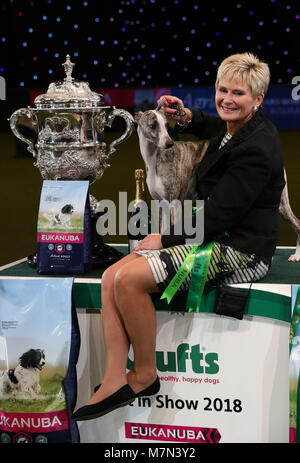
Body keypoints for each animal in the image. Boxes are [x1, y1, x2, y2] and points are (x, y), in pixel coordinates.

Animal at [135, 108, 300, 260]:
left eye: (166, 125)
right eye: (153, 125)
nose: (169, 143)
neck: (155, 159)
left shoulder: (175, 203)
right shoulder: (160, 203)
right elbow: (162, 229)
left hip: (282, 204)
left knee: (297, 224)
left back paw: (296, 255)